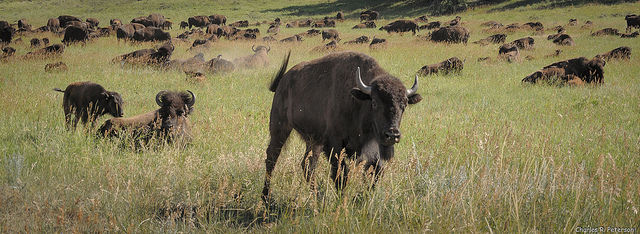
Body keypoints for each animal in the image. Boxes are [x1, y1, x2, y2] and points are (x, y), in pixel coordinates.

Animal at [262, 50, 422, 203]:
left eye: (404, 105)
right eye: (374, 103)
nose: (392, 134)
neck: (359, 100)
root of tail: (283, 81)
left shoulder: (371, 147)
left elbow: (375, 172)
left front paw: (360, 199)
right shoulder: (334, 145)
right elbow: (341, 174)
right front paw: (342, 201)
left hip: (313, 141)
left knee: (307, 165)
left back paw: (318, 198)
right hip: (280, 128)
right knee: (271, 158)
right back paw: (266, 198)